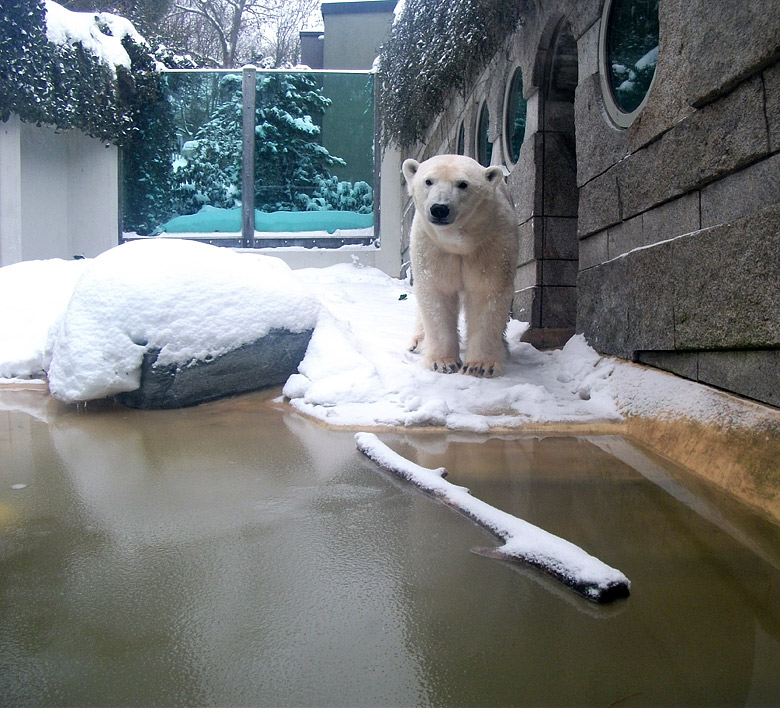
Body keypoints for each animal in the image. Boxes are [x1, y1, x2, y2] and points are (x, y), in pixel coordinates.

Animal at [402, 155, 516, 376]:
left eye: (463, 184)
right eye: (428, 181)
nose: (439, 208)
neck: (458, 242)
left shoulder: (492, 244)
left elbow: (486, 292)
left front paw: (480, 365)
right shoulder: (432, 247)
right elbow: (437, 293)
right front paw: (442, 362)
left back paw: (504, 348)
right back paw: (417, 341)